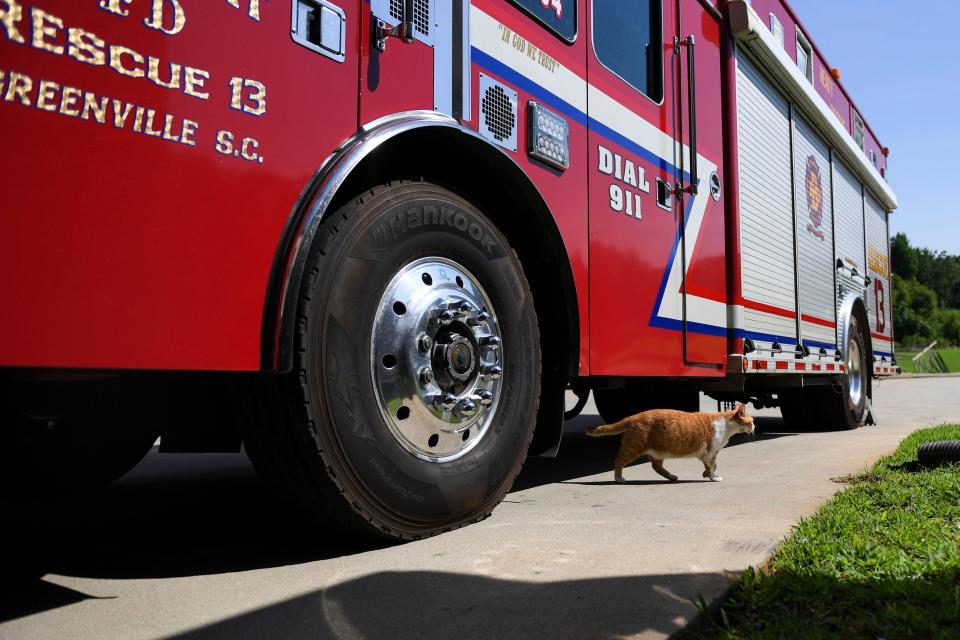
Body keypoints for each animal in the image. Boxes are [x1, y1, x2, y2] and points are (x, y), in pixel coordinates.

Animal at [584, 402, 756, 482]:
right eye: (752, 421)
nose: (755, 426)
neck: (726, 425)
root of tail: (635, 416)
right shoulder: (710, 452)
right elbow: (713, 466)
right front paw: (713, 477)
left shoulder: (710, 454)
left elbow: (712, 465)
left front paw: (706, 474)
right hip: (633, 448)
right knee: (618, 461)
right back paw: (619, 478)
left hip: (657, 452)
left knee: (656, 466)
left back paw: (672, 476)